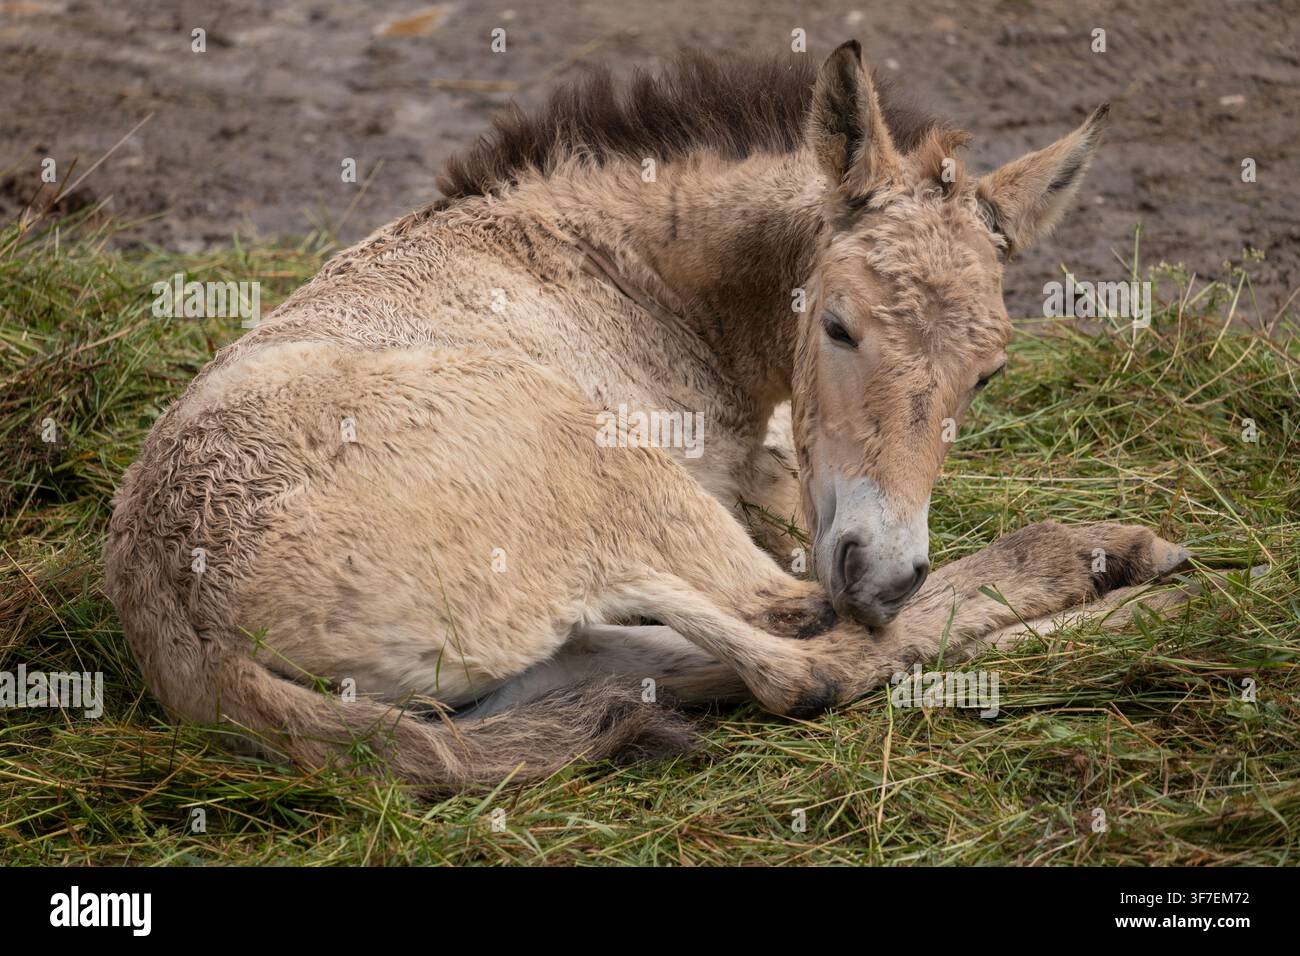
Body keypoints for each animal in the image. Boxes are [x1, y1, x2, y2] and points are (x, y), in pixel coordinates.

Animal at [104, 42, 1192, 790]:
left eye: (990, 374)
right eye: (838, 325)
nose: (885, 570)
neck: (630, 269)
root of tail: (190, 632)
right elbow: (806, 607)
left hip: (516, 649)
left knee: (665, 663)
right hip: (608, 472)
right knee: (798, 650)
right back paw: (1120, 587)